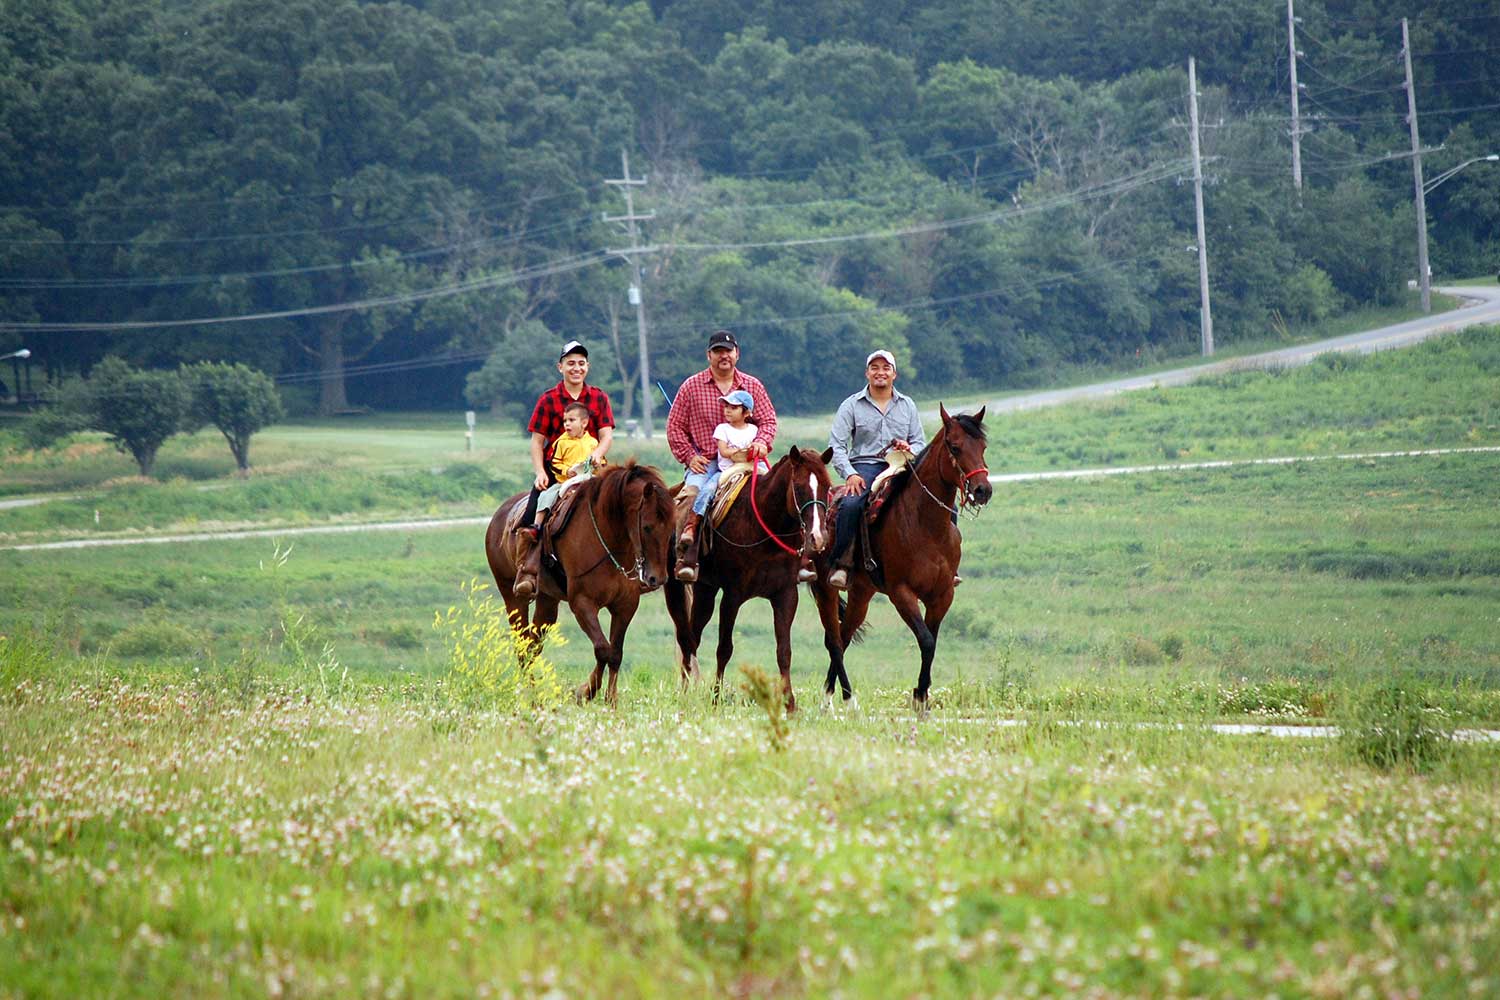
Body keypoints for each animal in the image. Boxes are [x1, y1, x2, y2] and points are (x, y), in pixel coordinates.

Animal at [483, 461, 672, 704]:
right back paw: (530, 696)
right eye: (647, 526)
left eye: (671, 527)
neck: (608, 541)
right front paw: (586, 692)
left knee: (534, 645)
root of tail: (499, 516)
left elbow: (615, 653)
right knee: (522, 645)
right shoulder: (582, 604)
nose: (657, 578)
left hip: (547, 600)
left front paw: (611, 701)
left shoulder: (625, 605)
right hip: (512, 595)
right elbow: (602, 649)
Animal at [666, 446, 840, 710]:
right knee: (688, 638)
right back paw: (685, 692)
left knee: (692, 634)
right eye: (799, 488)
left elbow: (784, 651)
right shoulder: (732, 595)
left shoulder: (786, 595)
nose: (818, 537)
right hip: (683, 588)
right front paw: (715, 699)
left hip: (705, 589)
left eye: (827, 486)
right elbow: (724, 648)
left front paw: (790, 704)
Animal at [810, 407, 996, 710]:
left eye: (982, 447)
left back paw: (836, 696)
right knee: (834, 641)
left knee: (844, 636)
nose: (982, 490)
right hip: (824, 588)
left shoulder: (942, 595)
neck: (926, 527)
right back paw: (837, 701)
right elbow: (926, 640)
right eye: (954, 446)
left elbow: (931, 642)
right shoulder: (901, 593)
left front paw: (923, 697)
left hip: (861, 592)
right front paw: (919, 700)